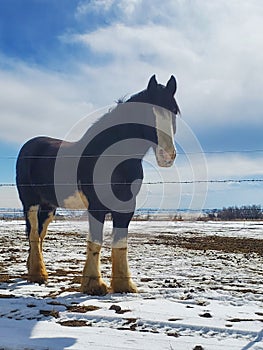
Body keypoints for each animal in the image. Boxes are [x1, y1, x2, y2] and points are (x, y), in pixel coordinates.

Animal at [16, 76, 180, 296]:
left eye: (174, 112)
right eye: (146, 113)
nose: (167, 156)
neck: (114, 159)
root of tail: (29, 146)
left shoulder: (126, 207)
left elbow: (120, 243)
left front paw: (124, 286)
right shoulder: (96, 206)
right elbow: (96, 242)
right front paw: (93, 285)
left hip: (49, 206)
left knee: (40, 235)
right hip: (30, 202)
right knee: (34, 234)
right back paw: (38, 275)